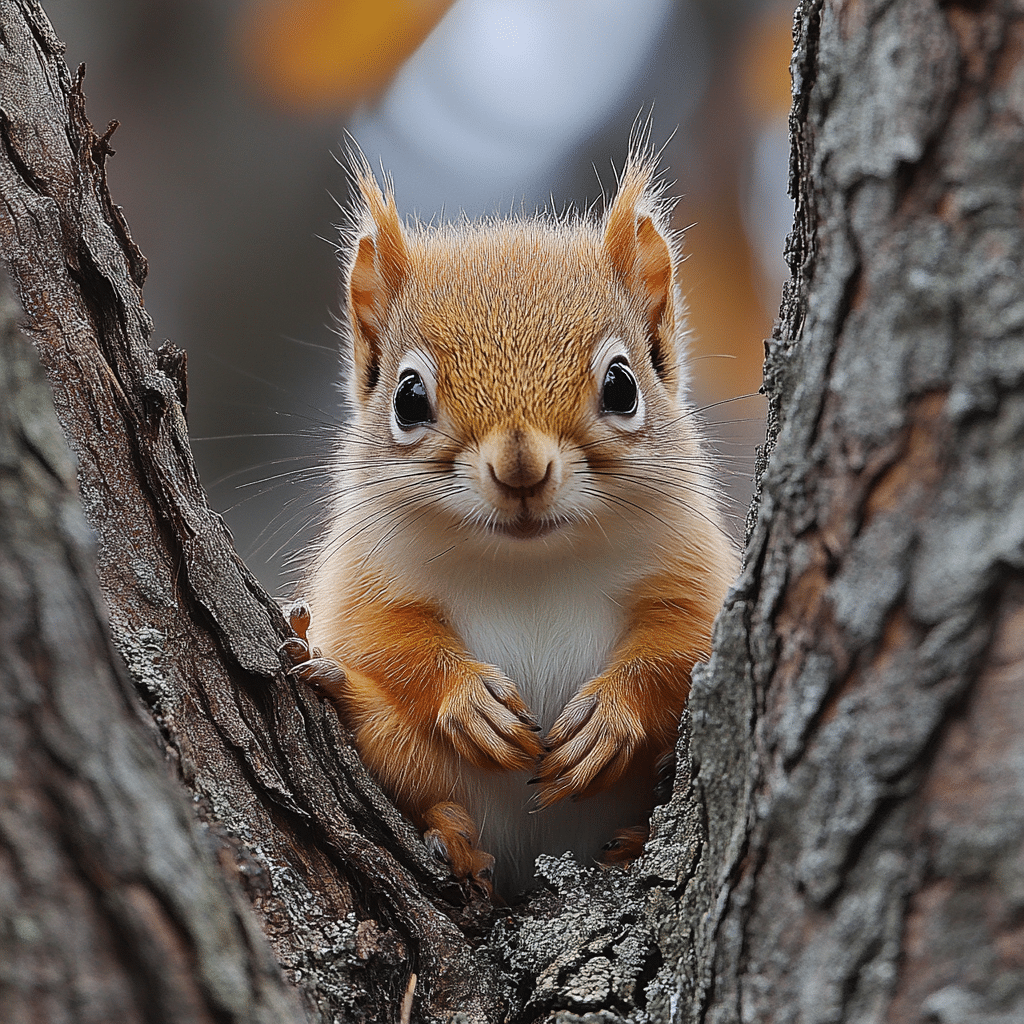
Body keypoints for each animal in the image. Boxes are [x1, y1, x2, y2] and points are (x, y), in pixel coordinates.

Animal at [285, 149, 738, 897]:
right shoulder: (363, 577)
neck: (531, 565)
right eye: (408, 399)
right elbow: (388, 638)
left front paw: (608, 718)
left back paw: (630, 842)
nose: (520, 466)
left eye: (622, 386)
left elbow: (681, 644)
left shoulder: (692, 568)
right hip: (408, 756)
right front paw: (469, 700)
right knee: (410, 769)